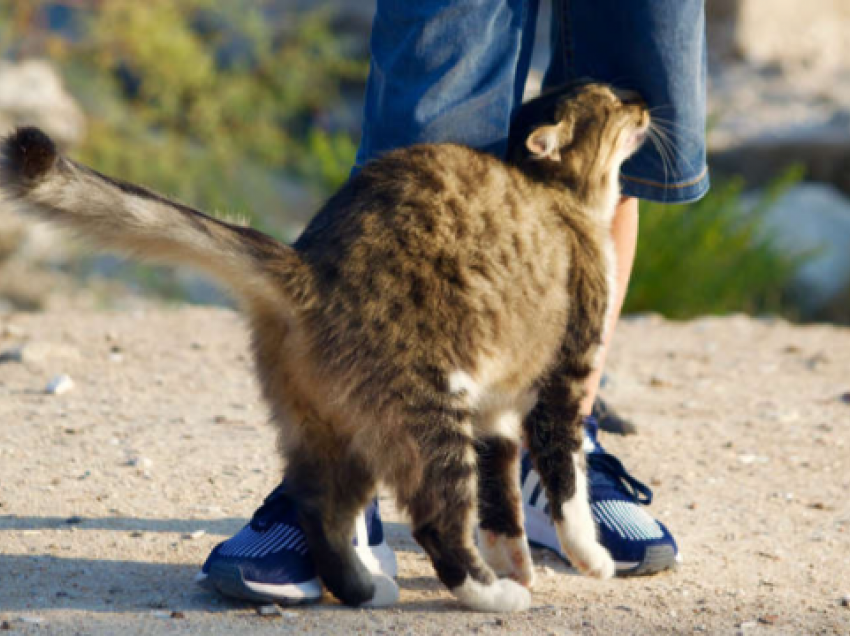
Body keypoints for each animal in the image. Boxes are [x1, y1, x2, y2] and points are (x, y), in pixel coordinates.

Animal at [1, 83, 648, 612]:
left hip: (336, 429)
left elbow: (502, 505)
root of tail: (306, 265)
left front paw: (516, 559)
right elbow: (566, 482)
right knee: (437, 524)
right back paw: (493, 595)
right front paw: (588, 557)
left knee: (319, 511)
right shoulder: (562, 382)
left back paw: (366, 588)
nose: (644, 102)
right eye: (613, 100)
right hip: (429, 418)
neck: (561, 199)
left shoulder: (495, 413)